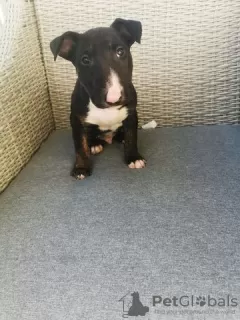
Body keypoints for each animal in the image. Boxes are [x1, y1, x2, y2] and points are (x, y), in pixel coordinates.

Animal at [49, 18, 145, 179]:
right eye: (85, 60)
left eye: (120, 51)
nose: (114, 97)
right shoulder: (76, 119)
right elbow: (80, 145)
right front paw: (81, 168)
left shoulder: (131, 113)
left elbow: (132, 136)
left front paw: (134, 158)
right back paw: (94, 144)